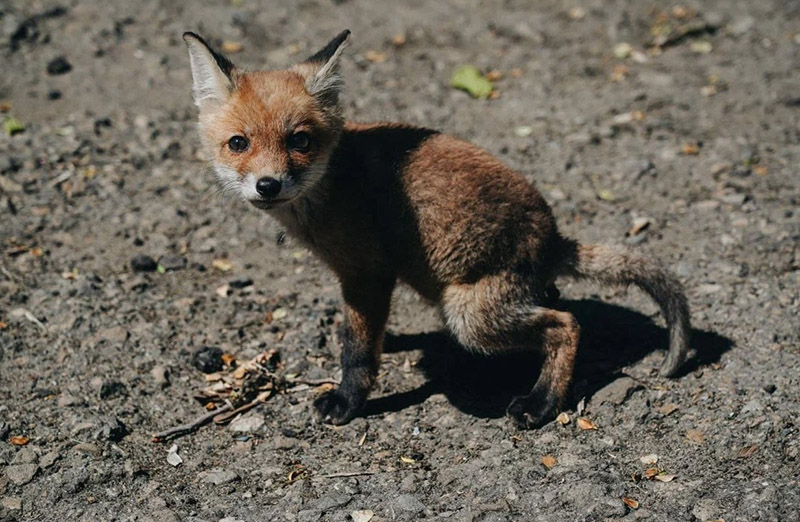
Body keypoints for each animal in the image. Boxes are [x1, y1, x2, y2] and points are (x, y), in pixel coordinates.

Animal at [184, 29, 692, 426]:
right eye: (238, 143)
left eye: (300, 141)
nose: (268, 184)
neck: (332, 185)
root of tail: (552, 238)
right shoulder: (369, 282)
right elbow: (364, 332)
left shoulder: (367, 272)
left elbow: (357, 350)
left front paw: (347, 401)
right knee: (557, 304)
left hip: (468, 316)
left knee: (567, 325)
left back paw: (541, 403)